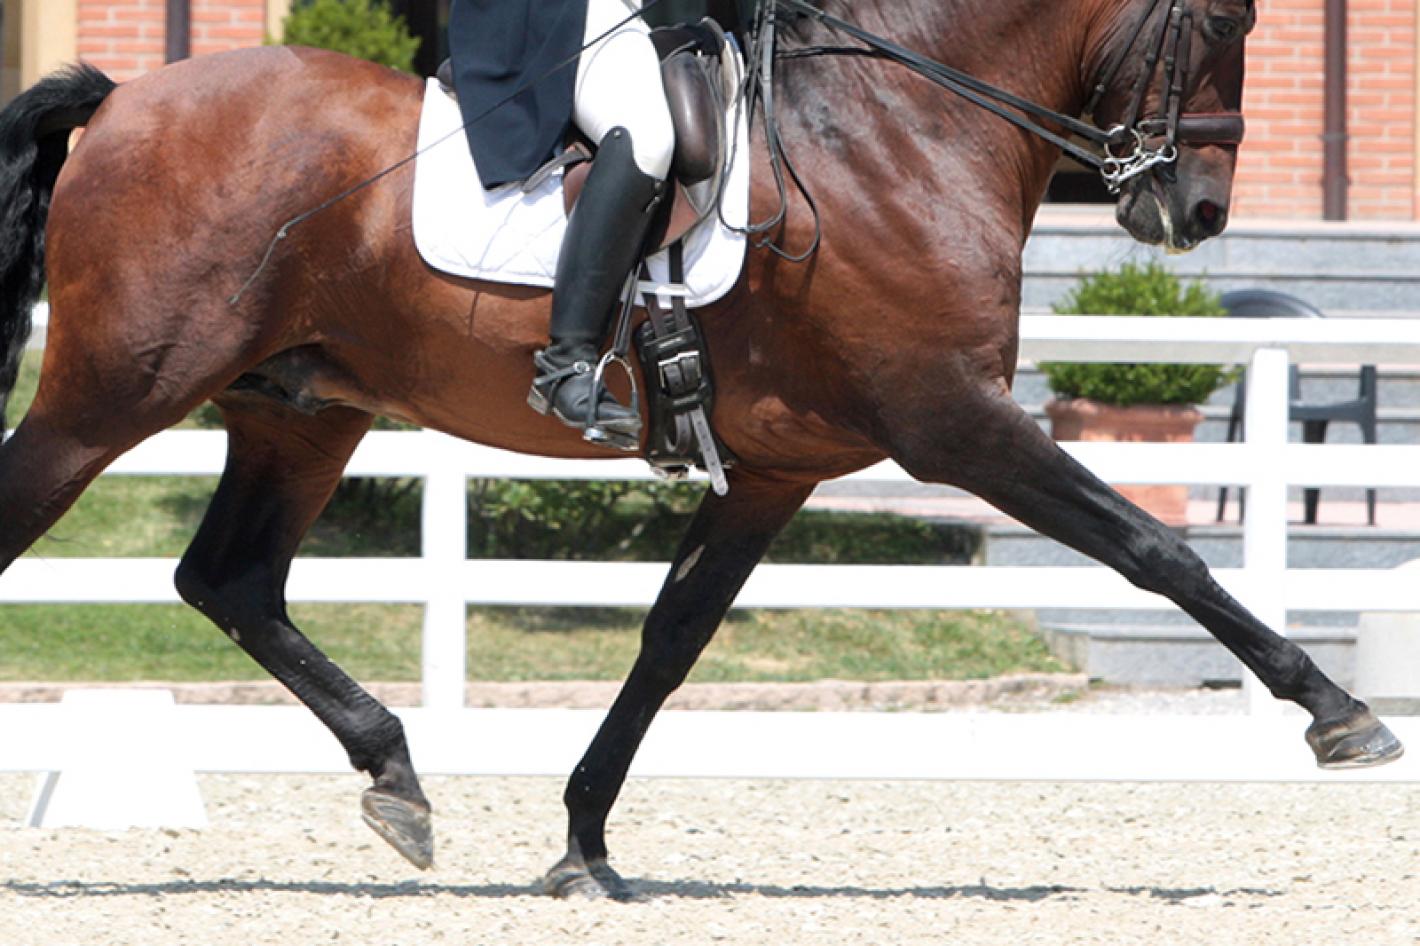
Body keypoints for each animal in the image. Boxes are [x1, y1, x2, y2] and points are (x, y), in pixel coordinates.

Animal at [0, 0, 1401, 900]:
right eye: (1222, 23)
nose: (1196, 211)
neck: (900, 126)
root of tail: (127, 98)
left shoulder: (777, 471)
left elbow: (670, 643)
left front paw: (583, 843)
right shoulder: (953, 420)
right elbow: (1157, 549)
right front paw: (1340, 715)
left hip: (298, 410)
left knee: (230, 580)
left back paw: (397, 774)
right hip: (111, 395)